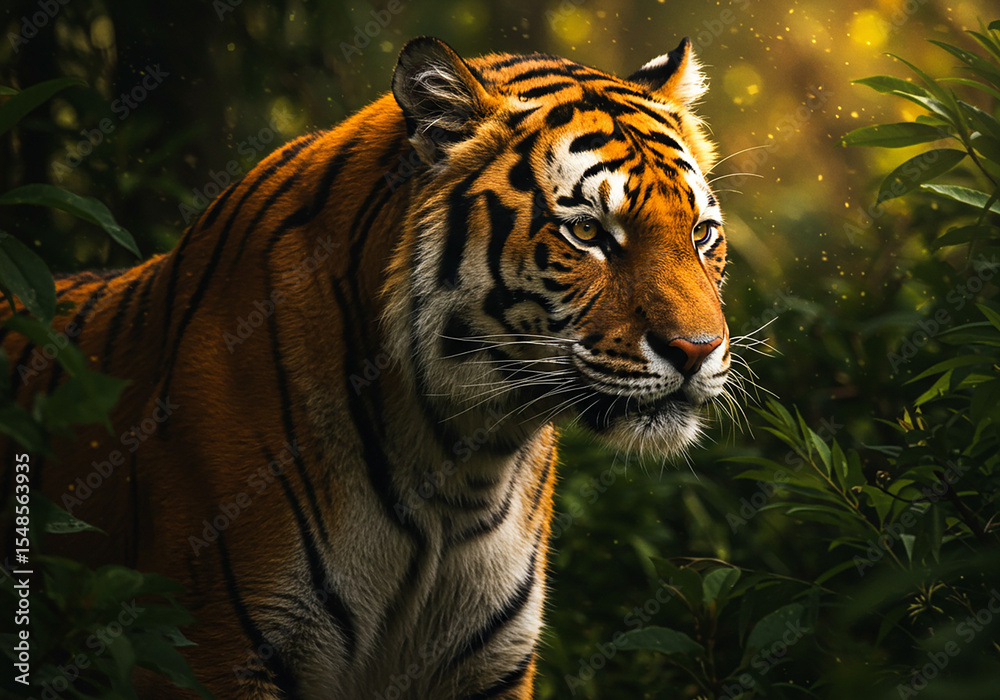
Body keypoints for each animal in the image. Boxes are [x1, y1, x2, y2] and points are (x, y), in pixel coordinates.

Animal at [0, 35, 730, 698]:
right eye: (587, 233)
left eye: (701, 234)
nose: (698, 350)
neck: (458, 467)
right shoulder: (212, 651)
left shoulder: (487, 666)